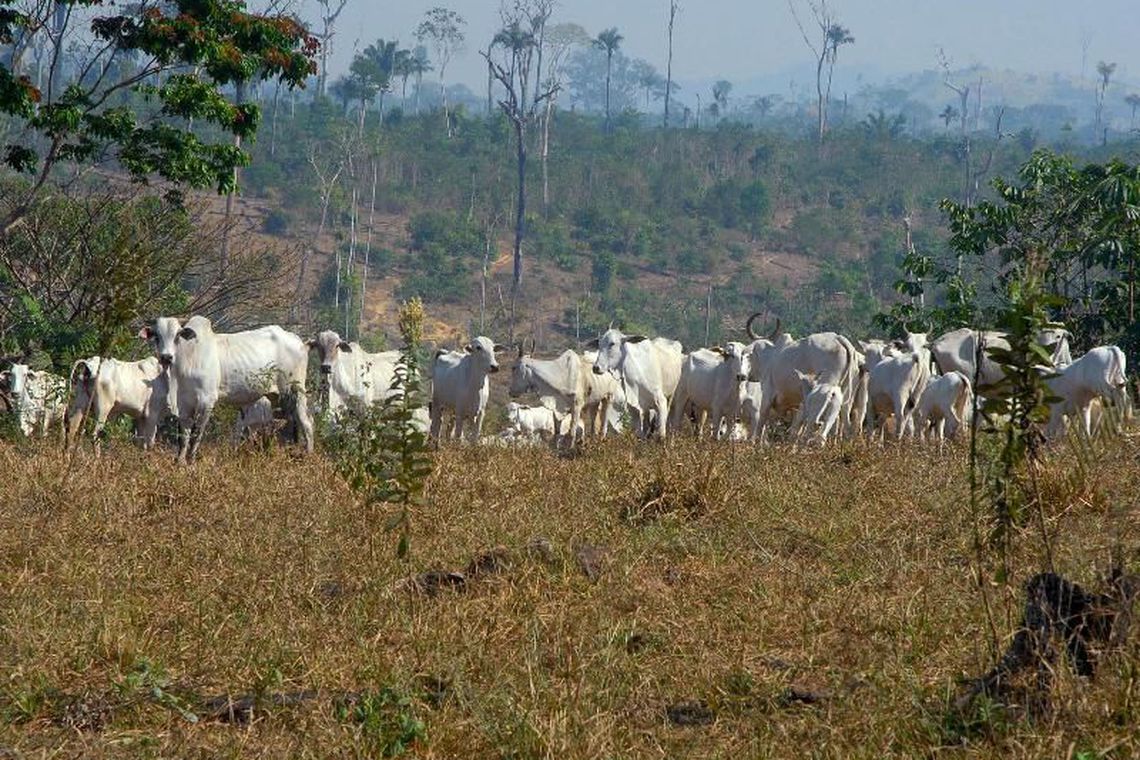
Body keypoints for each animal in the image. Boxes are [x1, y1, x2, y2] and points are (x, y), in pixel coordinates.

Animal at [140, 314, 316, 464]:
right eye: (157, 336)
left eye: (177, 335)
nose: (166, 357)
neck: (186, 361)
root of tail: (300, 342)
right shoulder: (184, 404)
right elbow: (183, 436)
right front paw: (180, 462)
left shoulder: (206, 401)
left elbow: (197, 434)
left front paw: (191, 461)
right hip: (278, 398)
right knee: (289, 422)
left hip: (295, 391)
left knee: (306, 422)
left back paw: (308, 455)